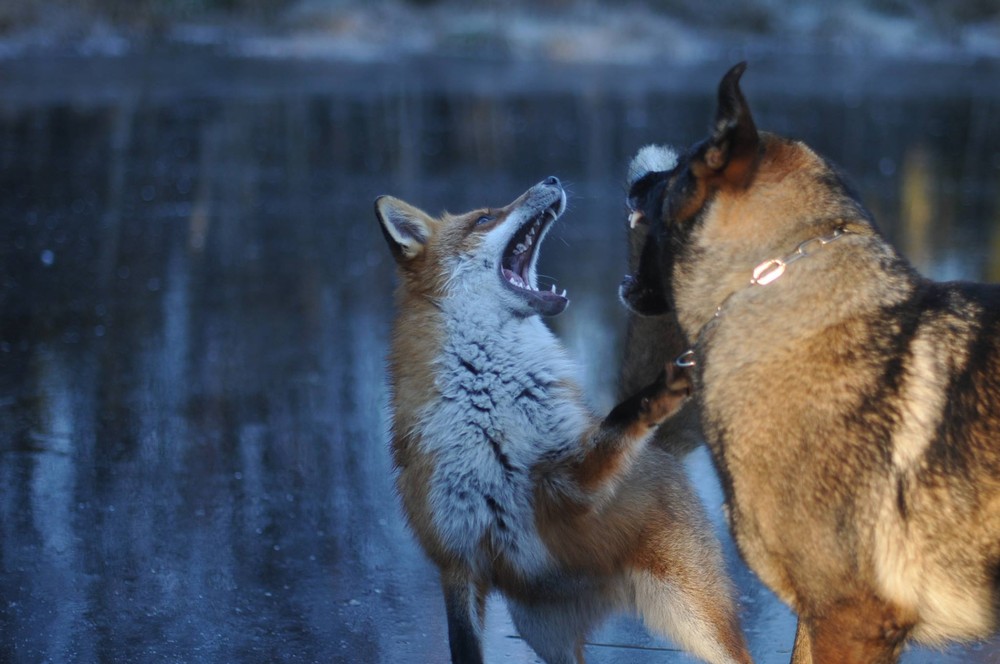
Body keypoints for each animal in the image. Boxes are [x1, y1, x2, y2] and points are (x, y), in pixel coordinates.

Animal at [375, 176, 752, 664]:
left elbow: (614, 422)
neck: (490, 411)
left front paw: (652, 398)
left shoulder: (565, 487)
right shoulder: (457, 561)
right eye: (484, 218)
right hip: (546, 637)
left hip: (694, 617)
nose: (551, 180)